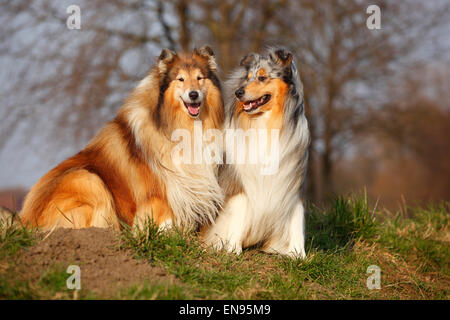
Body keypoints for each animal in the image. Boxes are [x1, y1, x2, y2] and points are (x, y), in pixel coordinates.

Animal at [21, 46, 225, 230]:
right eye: (180, 79)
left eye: (200, 78)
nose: (193, 94)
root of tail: (25, 221)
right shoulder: (158, 194)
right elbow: (163, 221)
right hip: (87, 179)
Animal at [203, 47, 312, 258]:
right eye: (247, 78)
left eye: (262, 78)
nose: (238, 92)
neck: (266, 122)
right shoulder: (241, 180)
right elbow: (240, 211)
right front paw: (232, 248)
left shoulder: (292, 178)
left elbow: (296, 218)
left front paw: (298, 254)